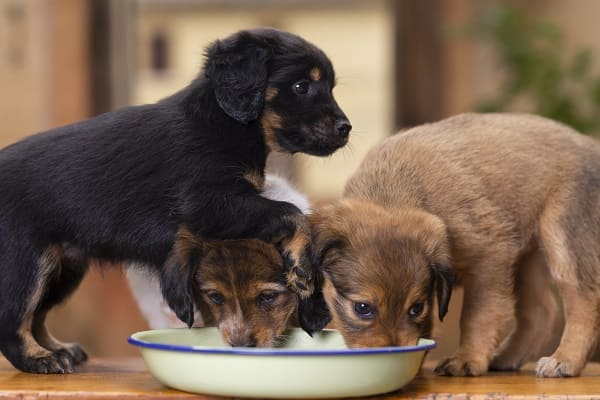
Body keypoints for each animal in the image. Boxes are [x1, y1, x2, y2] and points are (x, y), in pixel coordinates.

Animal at [0, 28, 350, 376]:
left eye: (330, 87)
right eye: (301, 86)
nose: (346, 128)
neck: (222, 122)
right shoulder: (211, 204)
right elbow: (292, 212)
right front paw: (301, 265)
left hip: (62, 268)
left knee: (36, 315)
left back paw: (58, 349)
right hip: (25, 262)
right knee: (13, 318)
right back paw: (40, 358)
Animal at [308, 112, 600, 378]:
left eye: (415, 308)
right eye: (362, 308)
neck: (391, 196)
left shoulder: (489, 262)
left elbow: (477, 316)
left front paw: (466, 358)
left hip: (562, 238)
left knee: (583, 301)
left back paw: (564, 360)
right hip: (525, 259)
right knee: (541, 312)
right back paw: (506, 358)